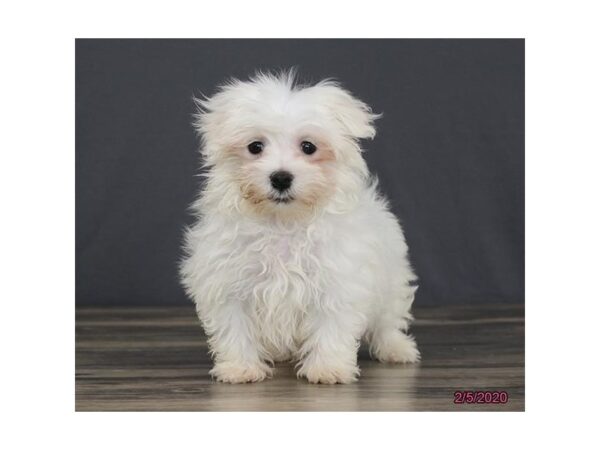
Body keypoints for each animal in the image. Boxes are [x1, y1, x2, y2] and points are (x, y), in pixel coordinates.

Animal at [180, 70, 420, 384]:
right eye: (255, 147)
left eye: (309, 147)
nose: (281, 177)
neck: (283, 222)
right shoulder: (228, 283)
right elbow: (235, 327)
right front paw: (240, 367)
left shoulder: (337, 282)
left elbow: (332, 325)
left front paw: (328, 368)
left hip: (391, 280)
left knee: (388, 320)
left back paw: (396, 348)